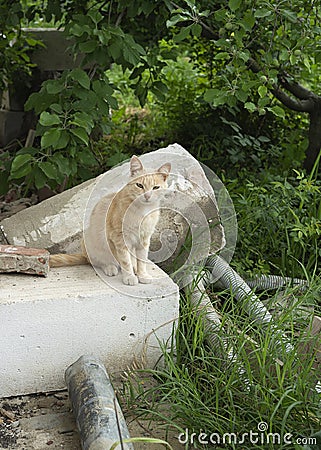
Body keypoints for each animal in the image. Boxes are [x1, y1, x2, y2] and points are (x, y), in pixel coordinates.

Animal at [49, 156, 170, 286]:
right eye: (139, 185)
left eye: (156, 187)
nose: (147, 196)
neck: (142, 211)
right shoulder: (119, 238)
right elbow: (125, 260)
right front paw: (129, 276)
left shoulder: (144, 239)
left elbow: (141, 260)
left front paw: (142, 274)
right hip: (91, 242)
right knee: (97, 262)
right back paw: (110, 267)